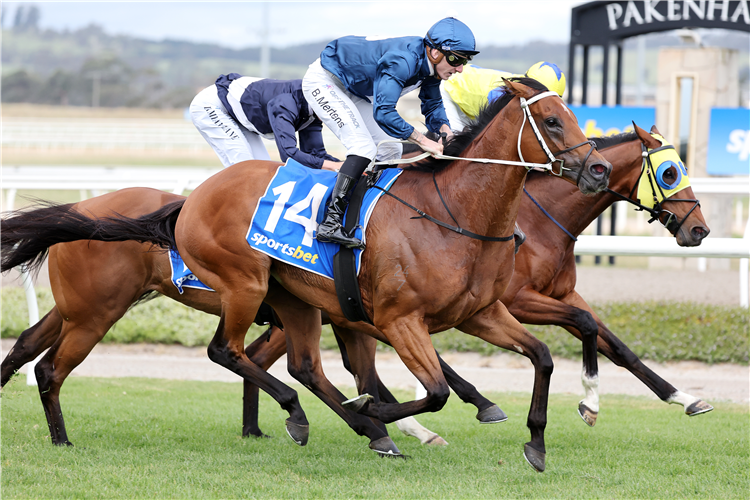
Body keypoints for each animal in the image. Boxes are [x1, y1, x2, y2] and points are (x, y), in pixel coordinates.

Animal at [0, 80, 612, 470]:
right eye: (553, 121)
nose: (599, 168)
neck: (451, 215)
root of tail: (188, 203)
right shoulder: (396, 319)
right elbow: (431, 388)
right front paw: (386, 414)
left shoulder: (478, 313)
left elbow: (541, 356)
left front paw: (536, 443)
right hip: (213, 290)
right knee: (219, 352)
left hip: (267, 299)